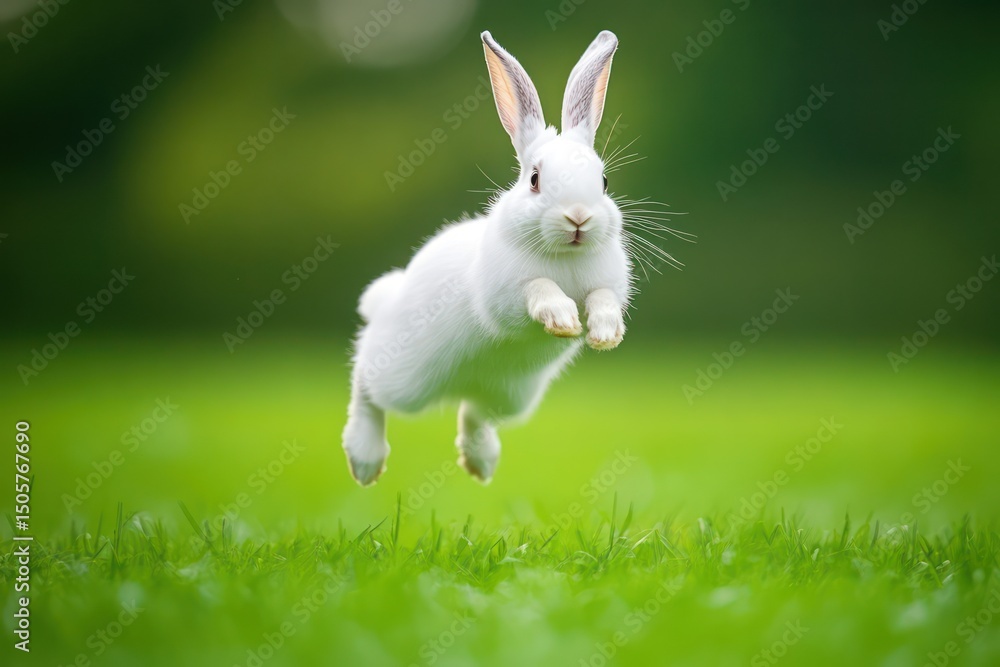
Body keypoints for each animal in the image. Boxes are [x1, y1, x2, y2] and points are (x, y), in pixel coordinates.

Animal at [343, 30, 633, 486]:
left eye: (603, 181)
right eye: (535, 179)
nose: (579, 217)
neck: (563, 254)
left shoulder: (608, 286)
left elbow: (602, 300)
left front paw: (604, 334)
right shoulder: (507, 298)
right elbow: (538, 288)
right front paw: (563, 319)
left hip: (511, 395)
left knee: (474, 413)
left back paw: (480, 462)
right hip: (403, 376)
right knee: (365, 382)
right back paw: (365, 458)